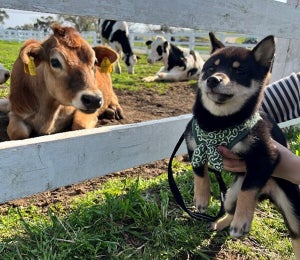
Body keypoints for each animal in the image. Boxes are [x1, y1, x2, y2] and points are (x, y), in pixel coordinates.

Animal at [185, 32, 300, 258]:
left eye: (239, 71)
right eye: (210, 68)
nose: (213, 79)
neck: (219, 124)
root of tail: (267, 192)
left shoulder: (265, 157)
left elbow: (248, 190)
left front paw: (242, 221)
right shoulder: (194, 145)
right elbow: (199, 171)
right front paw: (201, 198)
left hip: (293, 212)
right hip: (230, 195)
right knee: (231, 206)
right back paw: (222, 223)